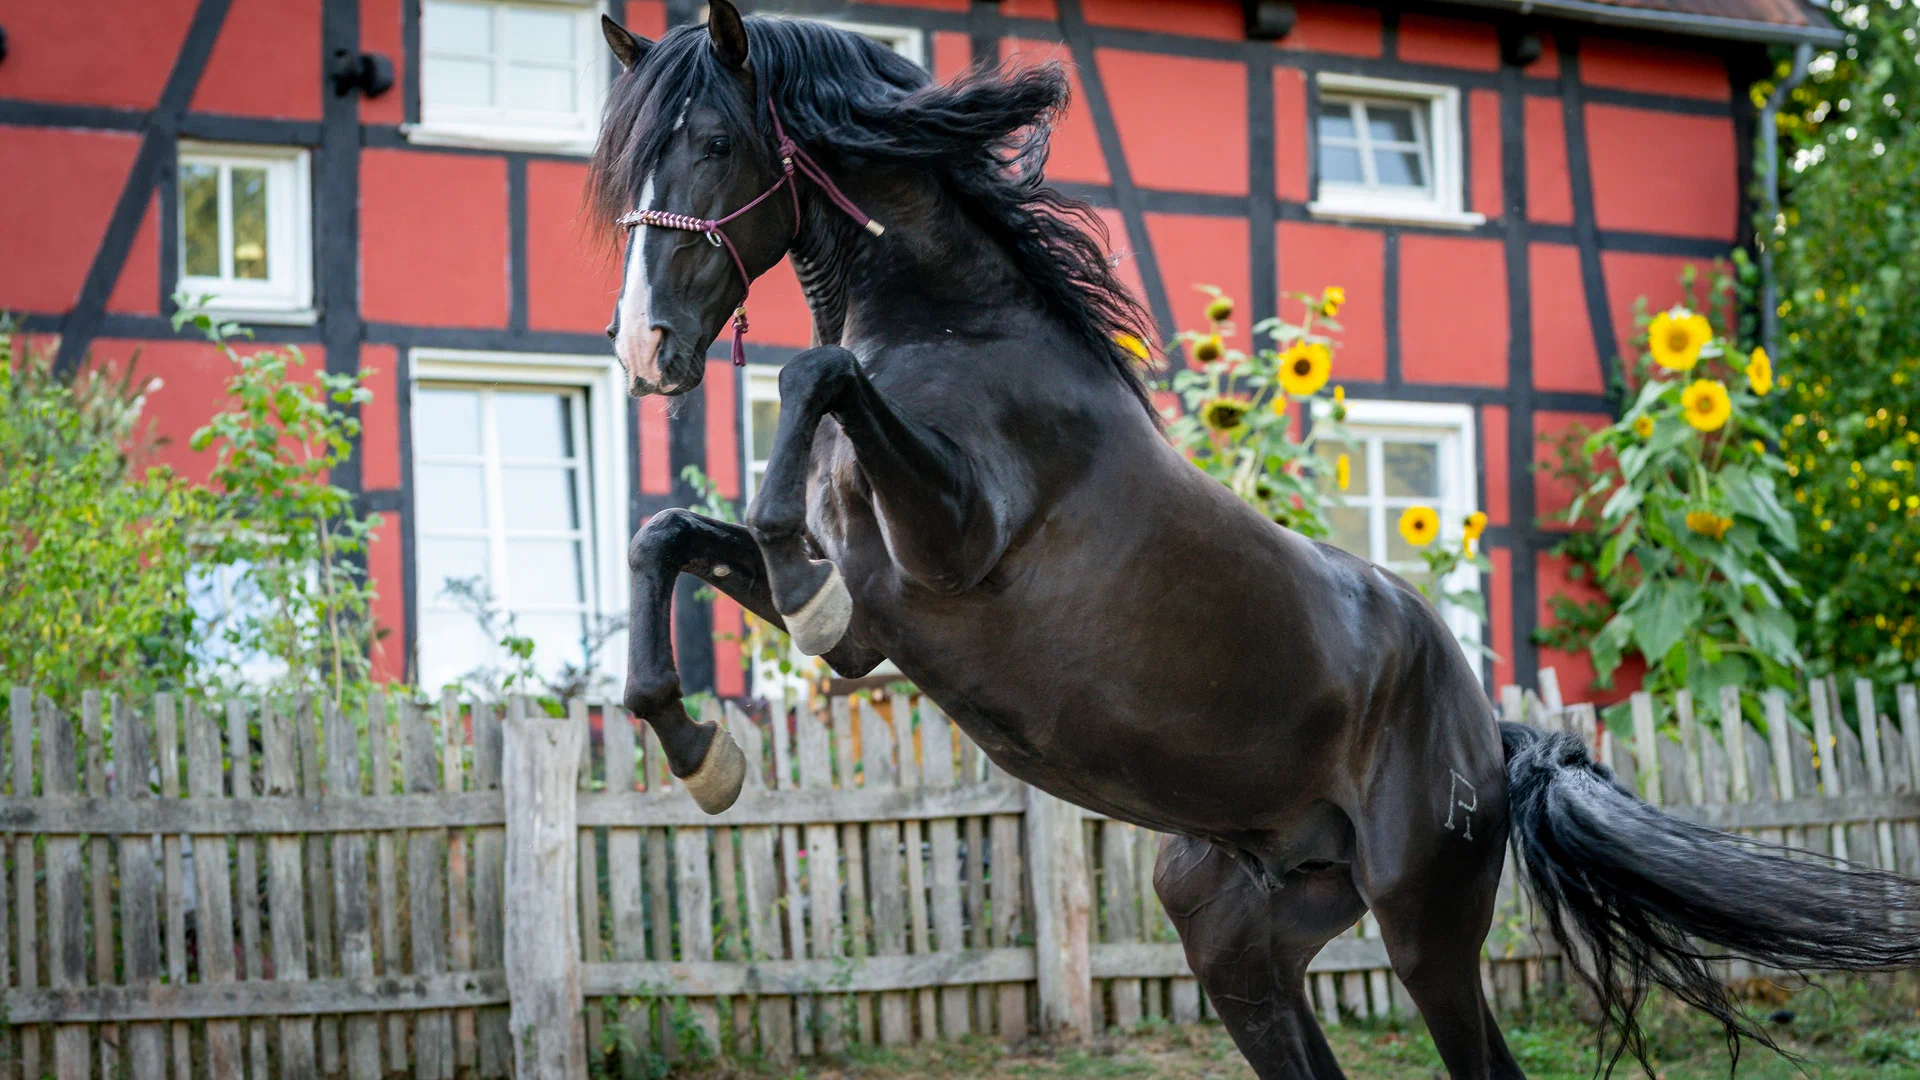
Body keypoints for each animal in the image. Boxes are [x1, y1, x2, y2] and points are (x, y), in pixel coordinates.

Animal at [583, 6, 1920, 1068]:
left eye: (711, 143)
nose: (644, 349)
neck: (956, 327)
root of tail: (1491, 737)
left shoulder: (951, 546)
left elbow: (816, 376)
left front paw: (773, 598)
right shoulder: (880, 622)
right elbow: (660, 538)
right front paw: (699, 750)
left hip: (1425, 923)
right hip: (1234, 926)